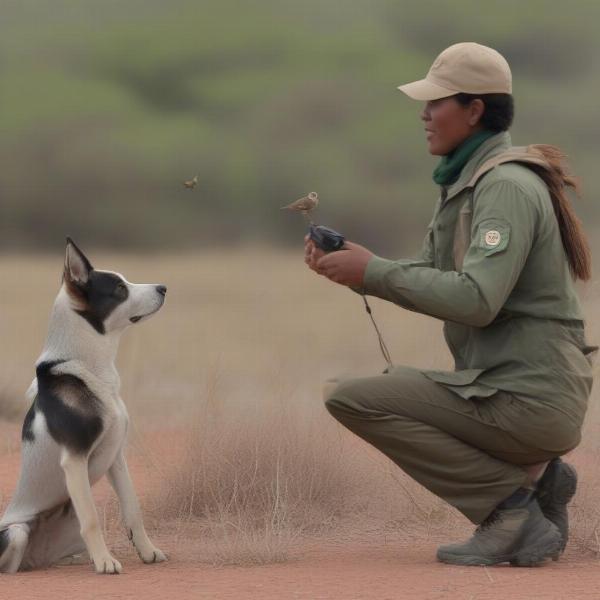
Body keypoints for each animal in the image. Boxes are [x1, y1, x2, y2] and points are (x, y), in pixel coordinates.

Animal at [1, 237, 169, 576]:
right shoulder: (75, 460)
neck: (87, 367)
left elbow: (133, 509)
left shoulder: (116, 456)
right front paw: (105, 562)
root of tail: (34, 558)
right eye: (119, 289)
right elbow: (91, 519)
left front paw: (147, 552)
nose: (163, 288)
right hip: (15, 532)